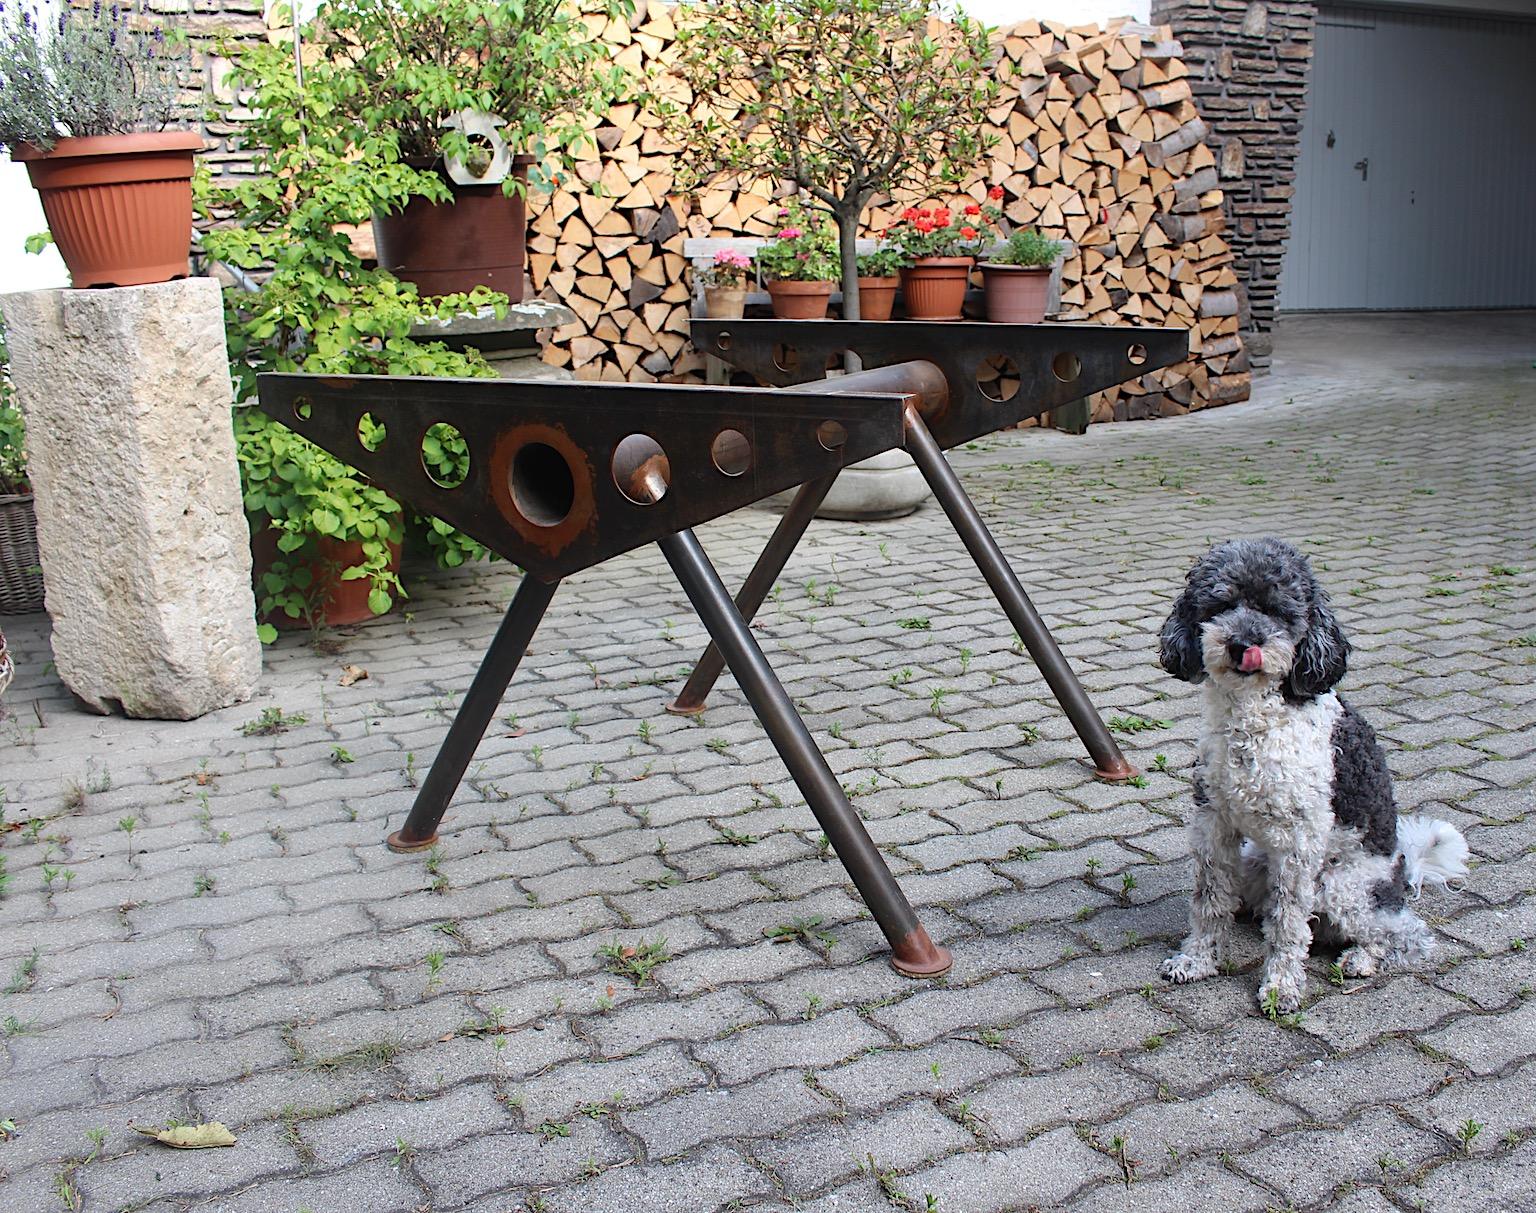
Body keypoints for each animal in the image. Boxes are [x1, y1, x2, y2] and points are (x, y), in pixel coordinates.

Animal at [1155, 540, 1468, 1019]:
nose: (1242, 643)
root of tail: (1403, 871)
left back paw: (1361, 958)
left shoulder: (1299, 840)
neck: (1255, 724)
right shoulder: (1214, 822)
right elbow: (1209, 900)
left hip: (1342, 887)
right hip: (1254, 864)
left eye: (1280, 612)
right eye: (1222, 604)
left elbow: (1288, 923)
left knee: (1406, 934)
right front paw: (1198, 959)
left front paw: (1280, 986)